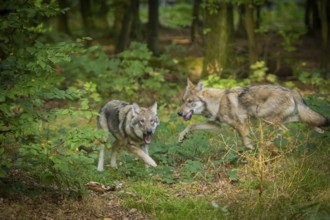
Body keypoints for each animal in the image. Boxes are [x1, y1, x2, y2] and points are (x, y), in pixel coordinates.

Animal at [178, 78, 330, 149]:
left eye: (190, 102)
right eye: (183, 100)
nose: (179, 113)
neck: (217, 102)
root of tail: (291, 90)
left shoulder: (241, 125)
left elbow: (246, 143)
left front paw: (251, 152)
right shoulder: (216, 126)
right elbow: (191, 126)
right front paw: (181, 136)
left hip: (265, 117)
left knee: (286, 131)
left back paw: (267, 143)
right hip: (282, 118)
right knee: (304, 119)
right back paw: (320, 129)